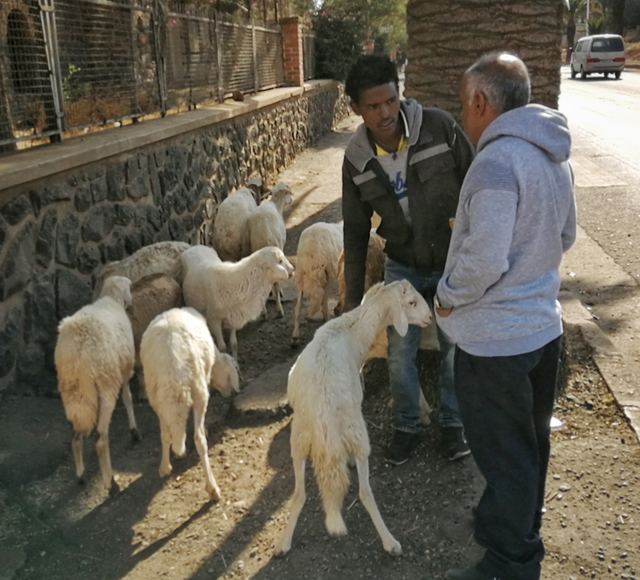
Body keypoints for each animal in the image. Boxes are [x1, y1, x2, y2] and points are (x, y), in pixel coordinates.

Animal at [55, 276, 140, 494]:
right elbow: (127, 398)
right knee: (101, 438)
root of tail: (78, 353)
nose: (131, 303)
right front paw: (134, 431)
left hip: (71, 393)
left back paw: (81, 474)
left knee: (76, 436)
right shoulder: (124, 371)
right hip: (106, 385)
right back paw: (110, 483)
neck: (112, 299)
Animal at [141, 306, 240, 500]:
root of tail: (172, 366)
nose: (229, 393)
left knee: (165, 434)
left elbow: (167, 435)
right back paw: (212, 488)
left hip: (156, 397)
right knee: (199, 439)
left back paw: (165, 467)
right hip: (198, 390)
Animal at [246, 182, 294, 314]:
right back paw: (279, 309)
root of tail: (265, 236)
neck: (277, 205)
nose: (291, 200)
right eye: (288, 192)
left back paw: (263, 312)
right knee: (276, 284)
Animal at [272, 280, 432, 556]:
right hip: (357, 434)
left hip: (299, 438)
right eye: (412, 302)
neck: (352, 329)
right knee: (365, 493)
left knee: (299, 494)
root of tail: (322, 410)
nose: (431, 318)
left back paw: (284, 543)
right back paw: (390, 542)